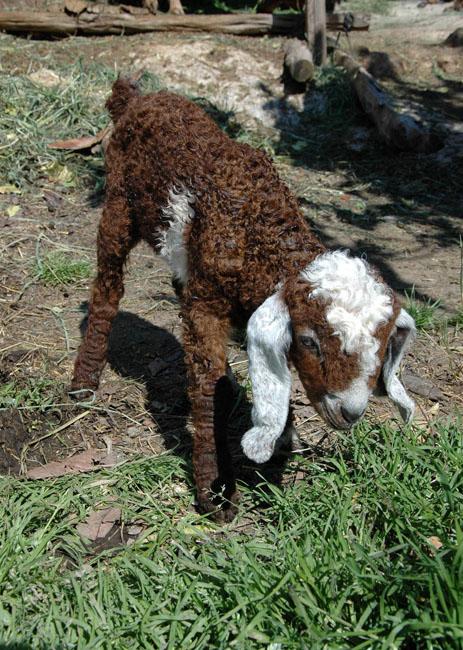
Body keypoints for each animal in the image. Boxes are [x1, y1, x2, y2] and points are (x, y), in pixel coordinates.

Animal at [73, 78, 416, 520]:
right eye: (309, 341)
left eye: (385, 345)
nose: (350, 411)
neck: (260, 232)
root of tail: (135, 97)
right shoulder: (207, 306)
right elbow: (207, 385)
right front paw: (215, 491)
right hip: (119, 203)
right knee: (108, 286)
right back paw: (84, 381)